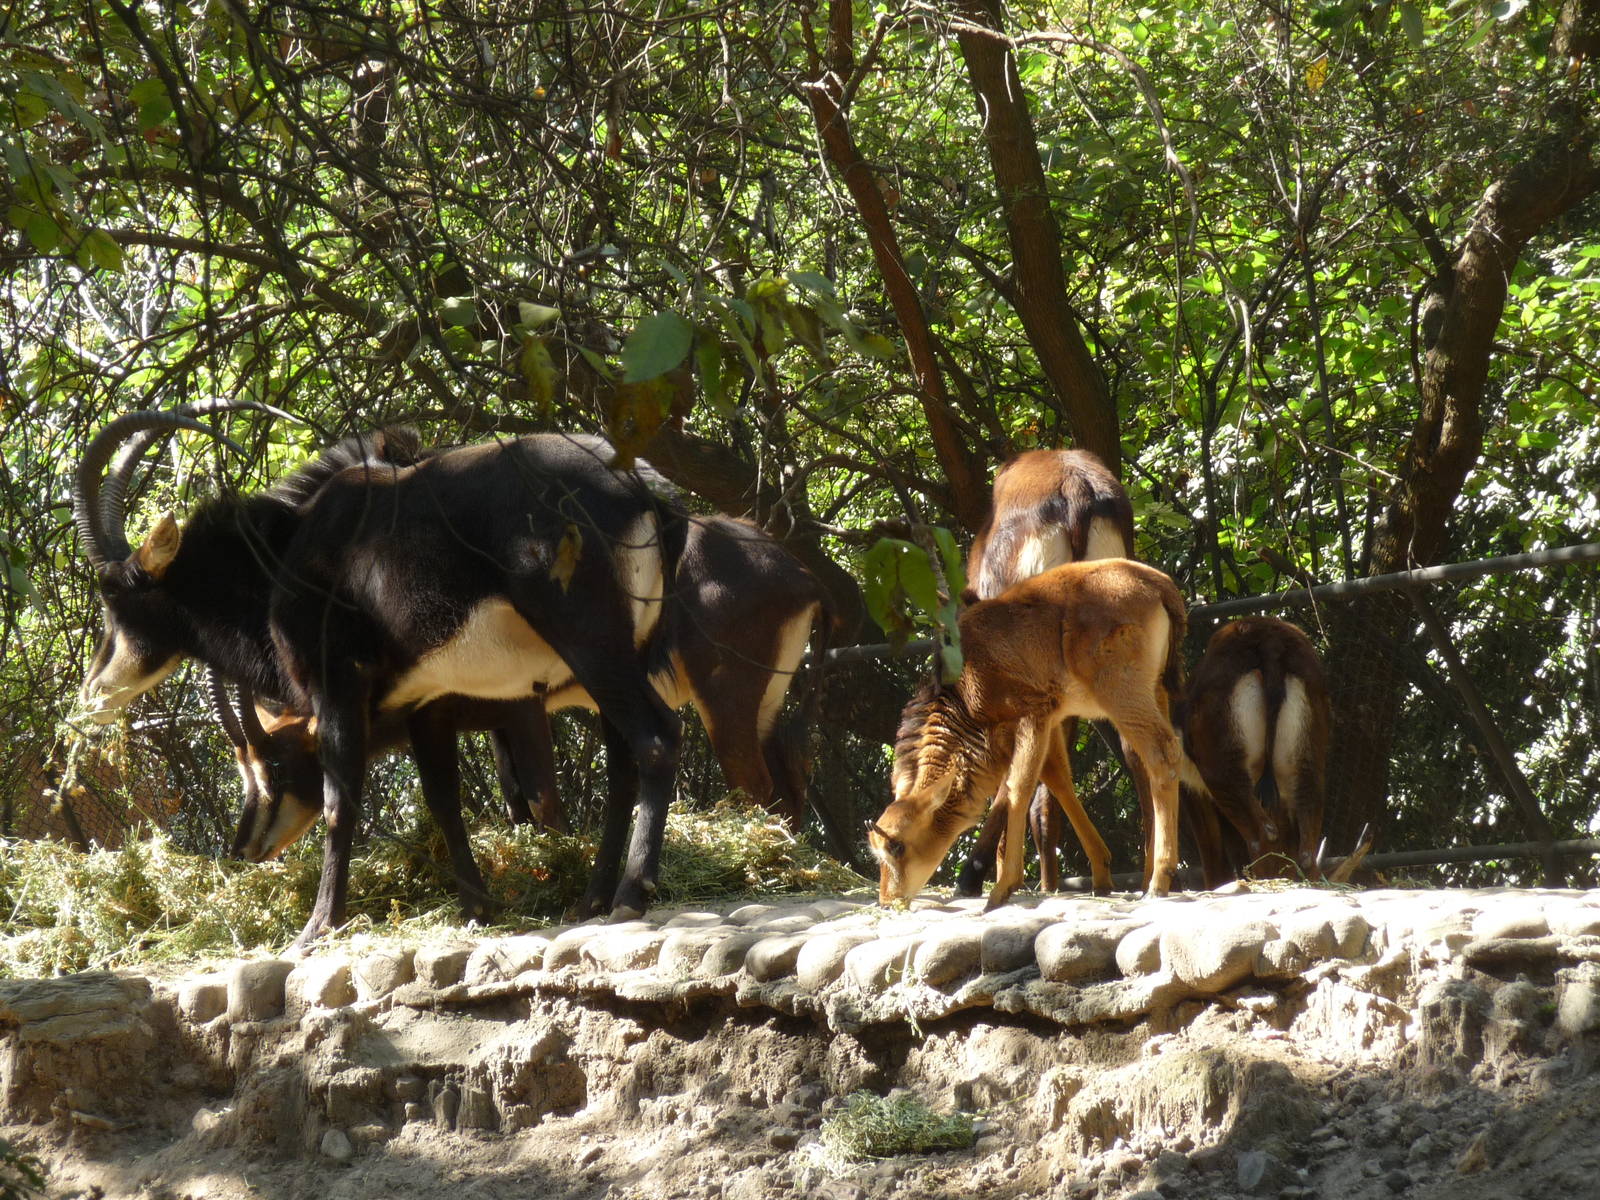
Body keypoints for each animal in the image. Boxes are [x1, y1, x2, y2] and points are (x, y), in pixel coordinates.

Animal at [75, 403, 686, 944]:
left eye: (115, 596)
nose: (93, 694)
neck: (285, 555)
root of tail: (642, 487)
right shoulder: (425, 702)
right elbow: (442, 800)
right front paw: (478, 909)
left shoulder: (338, 686)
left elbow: (339, 800)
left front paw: (318, 927)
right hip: (623, 651)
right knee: (623, 762)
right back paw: (591, 899)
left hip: (588, 642)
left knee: (656, 737)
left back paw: (630, 896)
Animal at [868, 558, 1186, 909]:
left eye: (897, 846)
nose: (887, 900)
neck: (965, 686)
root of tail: (1159, 585)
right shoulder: (1049, 721)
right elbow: (1058, 781)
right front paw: (1101, 874)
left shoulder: (1032, 715)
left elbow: (1018, 788)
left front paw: (1002, 887)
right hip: (1156, 691)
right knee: (1151, 764)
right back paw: (1149, 879)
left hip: (1121, 695)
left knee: (1162, 754)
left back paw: (1158, 882)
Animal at [1178, 616, 1331, 887]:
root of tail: (1270, 640)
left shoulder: (1192, 790)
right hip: (1305, 763)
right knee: (1304, 849)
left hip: (1223, 771)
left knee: (1262, 835)